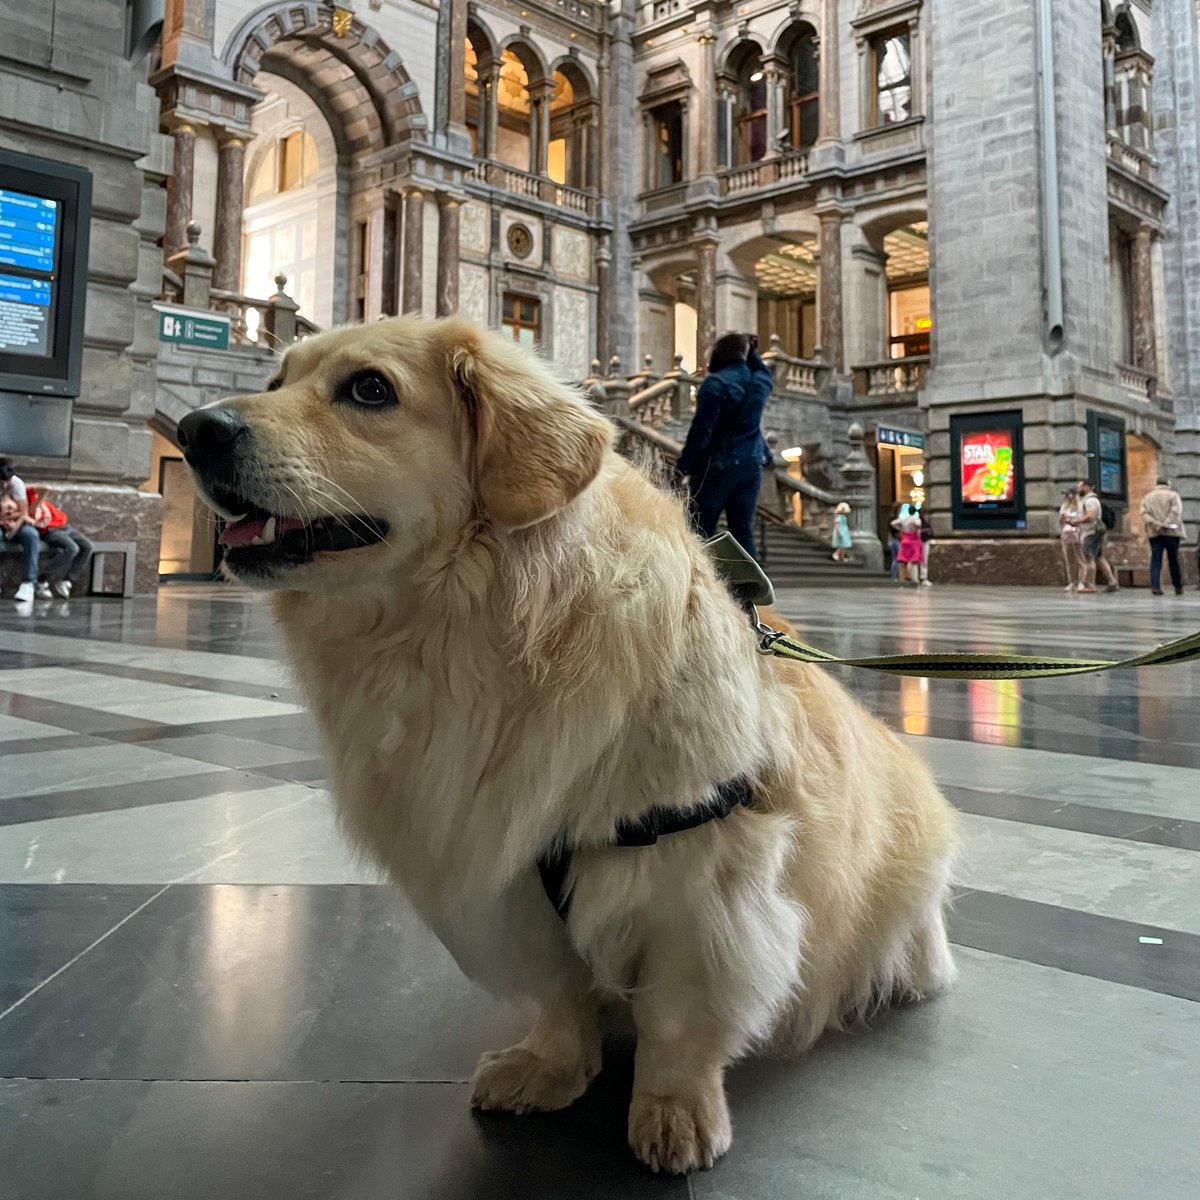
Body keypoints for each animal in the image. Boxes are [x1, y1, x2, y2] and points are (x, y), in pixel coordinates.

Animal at [177, 316, 960, 1171]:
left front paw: (674, 1115)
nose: (195, 430)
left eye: (369, 389)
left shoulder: (704, 887)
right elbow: (561, 999)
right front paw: (548, 1071)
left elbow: (678, 1023)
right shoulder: (516, 888)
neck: (467, 631)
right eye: (276, 380)